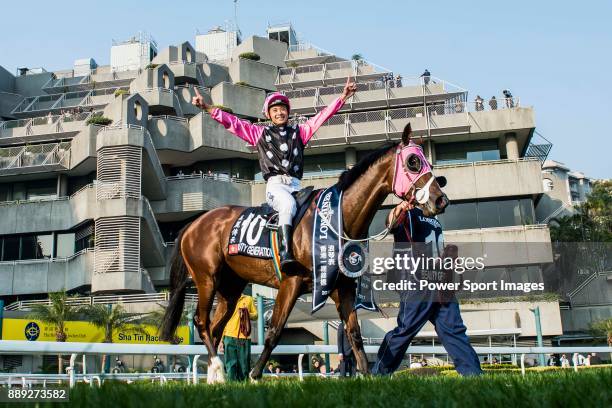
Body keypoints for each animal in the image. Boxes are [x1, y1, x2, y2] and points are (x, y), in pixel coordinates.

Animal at [160, 122, 450, 380]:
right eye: (413, 162)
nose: (441, 200)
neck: (336, 219)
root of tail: (193, 224)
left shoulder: (342, 287)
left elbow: (354, 334)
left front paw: (368, 375)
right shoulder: (291, 282)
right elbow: (275, 331)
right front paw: (255, 374)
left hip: (230, 287)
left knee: (215, 327)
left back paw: (214, 377)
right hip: (206, 279)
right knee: (201, 322)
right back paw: (219, 369)